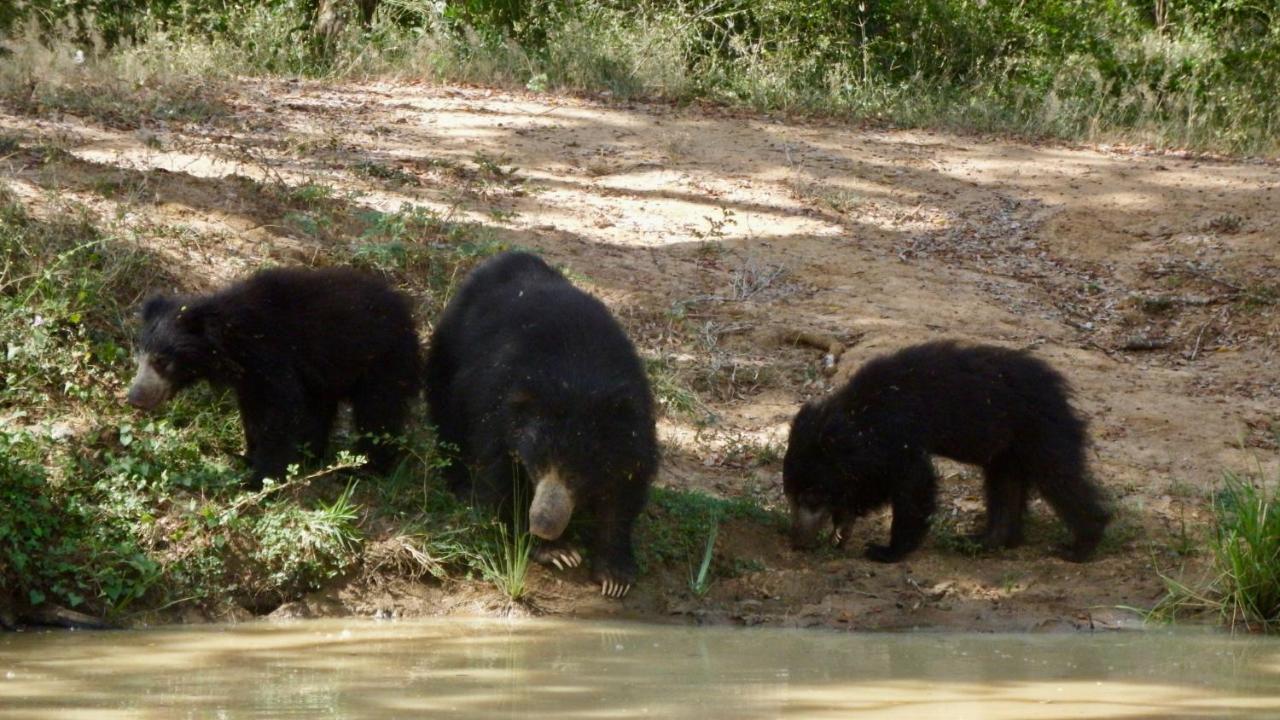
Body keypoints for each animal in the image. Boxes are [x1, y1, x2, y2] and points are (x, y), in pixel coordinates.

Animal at [128, 265, 422, 486]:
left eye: (161, 361)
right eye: (140, 355)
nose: (134, 397)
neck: (230, 340)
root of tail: (410, 320)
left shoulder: (271, 355)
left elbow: (278, 409)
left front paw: (260, 479)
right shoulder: (248, 377)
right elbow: (253, 413)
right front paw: (247, 456)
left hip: (383, 362)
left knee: (378, 413)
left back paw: (364, 469)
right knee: (321, 410)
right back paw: (310, 455)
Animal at [424, 249, 655, 597]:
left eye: (576, 476)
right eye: (537, 467)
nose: (544, 525)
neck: (579, 378)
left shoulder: (631, 425)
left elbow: (624, 488)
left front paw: (615, 576)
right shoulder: (500, 409)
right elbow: (503, 476)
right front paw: (557, 551)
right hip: (450, 352)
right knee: (448, 417)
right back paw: (461, 484)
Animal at [778, 340, 1111, 561]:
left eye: (811, 496)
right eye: (791, 496)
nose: (796, 540)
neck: (856, 418)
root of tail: (1058, 389)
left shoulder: (899, 438)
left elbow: (914, 485)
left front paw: (885, 551)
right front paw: (841, 528)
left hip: (1039, 432)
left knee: (1060, 479)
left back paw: (1080, 545)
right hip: (1007, 447)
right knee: (1006, 486)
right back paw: (986, 541)